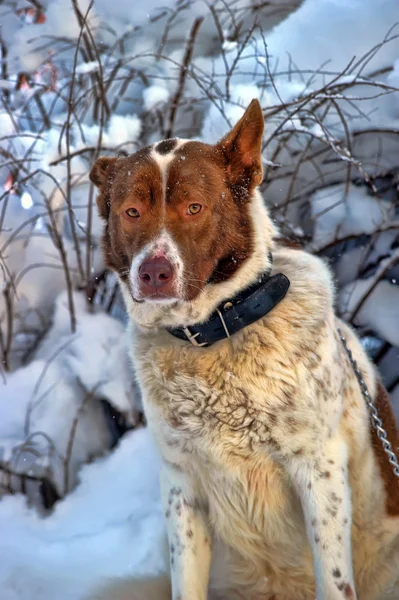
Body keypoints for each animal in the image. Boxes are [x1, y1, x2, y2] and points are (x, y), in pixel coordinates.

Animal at [88, 101, 399, 596]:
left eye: (194, 207)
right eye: (131, 211)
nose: (153, 273)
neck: (216, 332)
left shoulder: (320, 471)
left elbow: (334, 580)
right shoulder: (182, 485)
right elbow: (185, 583)